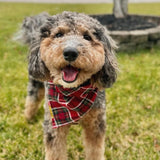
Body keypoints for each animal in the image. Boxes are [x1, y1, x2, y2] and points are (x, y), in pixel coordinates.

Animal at [17, 11, 117, 160]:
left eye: (87, 37)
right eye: (59, 34)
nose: (70, 52)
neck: (72, 93)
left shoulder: (95, 123)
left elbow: (95, 151)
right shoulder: (54, 125)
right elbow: (56, 152)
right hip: (36, 84)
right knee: (32, 100)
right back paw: (28, 119)